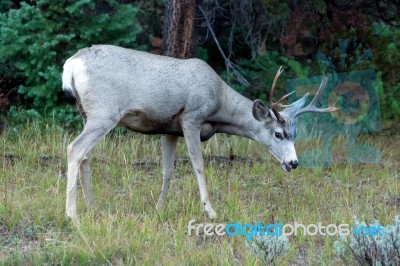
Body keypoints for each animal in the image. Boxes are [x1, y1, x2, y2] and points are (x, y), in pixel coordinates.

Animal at [62, 44, 338, 219]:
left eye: (295, 134)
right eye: (278, 134)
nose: (293, 162)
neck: (218, 106)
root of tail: (72, 65)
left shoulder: (169, 129)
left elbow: (168, 171)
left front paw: (159, 208)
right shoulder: (191, 117)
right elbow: (199, 165)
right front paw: (210, 211)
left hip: (88, 113)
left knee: (86, 157)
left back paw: (93, 207)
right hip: (105, 112)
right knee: (75, 149)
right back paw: (72, 215)